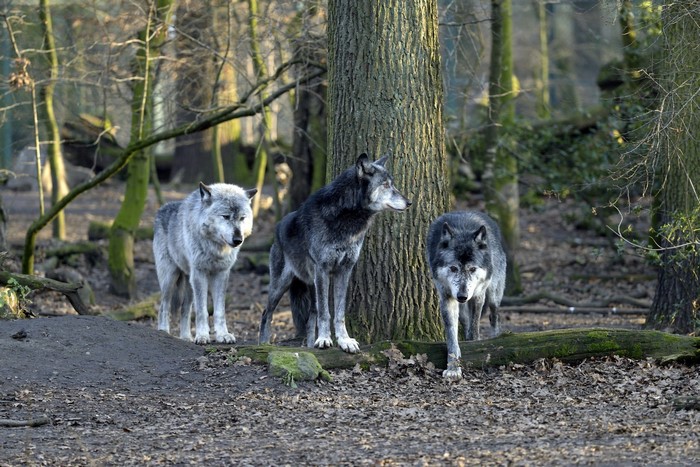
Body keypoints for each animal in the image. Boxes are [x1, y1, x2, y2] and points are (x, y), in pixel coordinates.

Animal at [153, 182, 257, 344]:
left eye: (242, 218)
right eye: (225, 216)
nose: (238, 240)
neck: (216, 249)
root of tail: (162, 208)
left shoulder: (221, 274)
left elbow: (219, 311)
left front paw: (223, 335)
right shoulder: (199, 274)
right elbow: (202, 311)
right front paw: (202, 335)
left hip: (189, 284)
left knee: (185, 309)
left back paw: (186, 337)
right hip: (170, 278)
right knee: (164, 306)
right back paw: (164, 331)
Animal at [258, 153, 411, 353]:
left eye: (392, 184)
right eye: (385, 185)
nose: (409, 202)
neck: (347, 218)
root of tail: (277, 227)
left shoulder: (344, 271)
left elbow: (338, 313)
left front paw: (344, 340)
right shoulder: (323, 269)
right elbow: (325, 312)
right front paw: (324, 339)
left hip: (311, 284)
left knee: (310, 317)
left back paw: (309, 345)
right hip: (281, 285)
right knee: (266, 313)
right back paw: (264, 344)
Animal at [426, 211, 507, 381]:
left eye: (472, 269)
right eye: (453, 268)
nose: (462, 296)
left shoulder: (477, 296)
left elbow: (475, 327)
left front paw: (476, 348)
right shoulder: (447, 298)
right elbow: (451, 336)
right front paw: (453, 368)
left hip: (493, 293)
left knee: (494, 315)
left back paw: (496, 337)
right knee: (465, 321)